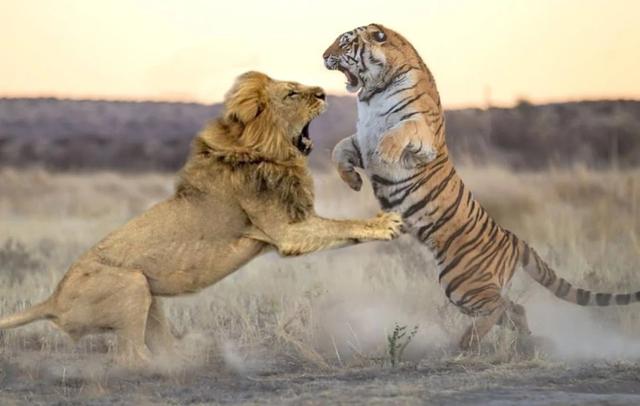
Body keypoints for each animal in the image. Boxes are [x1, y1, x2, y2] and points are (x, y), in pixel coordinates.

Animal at [323, 23, 640, 350]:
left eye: (345, 43)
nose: (323, 56)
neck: (373, 94)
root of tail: (514, 239)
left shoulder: (421, 135)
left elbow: (399, 132)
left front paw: (383, 155)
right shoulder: (361, 139)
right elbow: (338, 149)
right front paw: (353, 180)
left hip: (462, 282)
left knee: (499, 306)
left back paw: (467, 344)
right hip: (467, 287)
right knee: (514, 308)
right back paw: (524, 344)